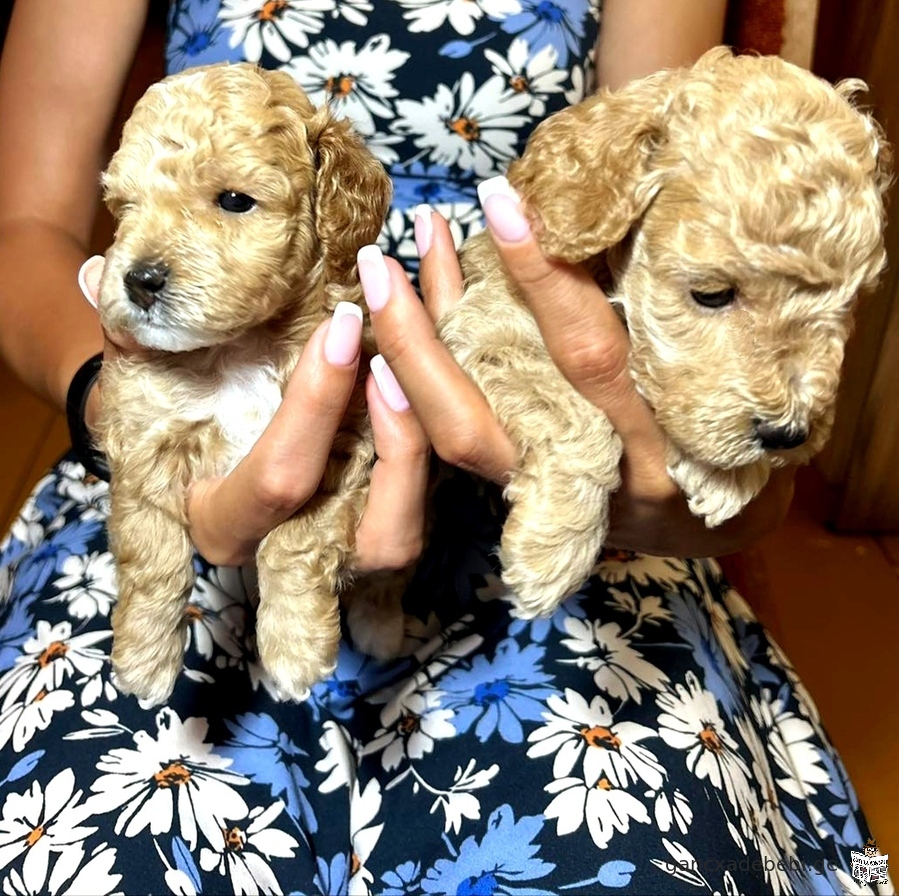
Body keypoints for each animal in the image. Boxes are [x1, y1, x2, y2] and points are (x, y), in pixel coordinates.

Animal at [95, 65, 400, 708]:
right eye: (124, 207)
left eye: (234, 201)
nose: (139, 279)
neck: (240, 348)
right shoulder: (144, 440)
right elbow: (152, 552)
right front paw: (143, 658)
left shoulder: (345, 440)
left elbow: (294, 540)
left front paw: (293, 647)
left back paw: (381, 626)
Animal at [438, 47, 892, 616]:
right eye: (712, 294)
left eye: (850, 302)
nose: (787, 435)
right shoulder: (489, 326)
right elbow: (578, 417)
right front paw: (553, 546)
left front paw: (729, 475)